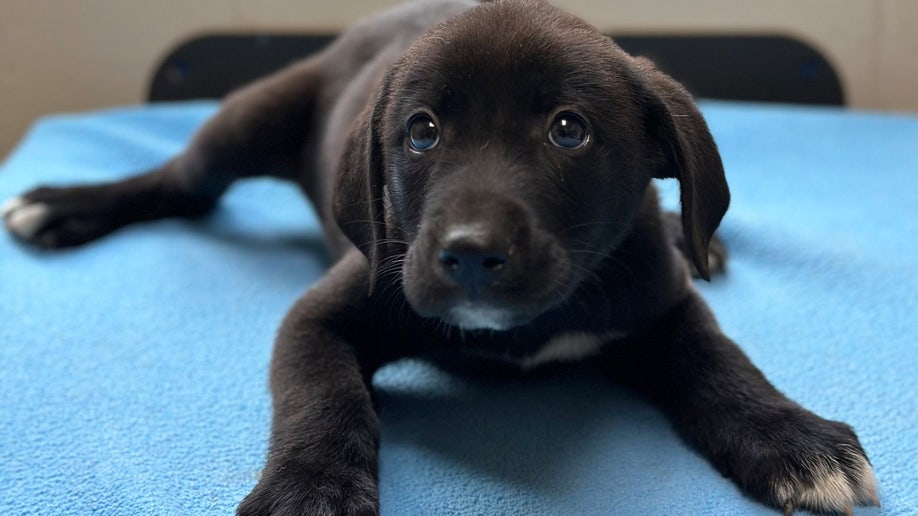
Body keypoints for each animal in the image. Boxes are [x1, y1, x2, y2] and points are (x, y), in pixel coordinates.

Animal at [3, 1, 880, 516]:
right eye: (421, 132)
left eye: (569, 130)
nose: (469, 256)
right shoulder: (327, 311)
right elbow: (322, 394)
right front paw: (310, 490)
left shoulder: (658, 302)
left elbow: (720, 360)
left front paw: (793, 438)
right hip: (245, 122)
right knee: (182, 185)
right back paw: (64, 206)